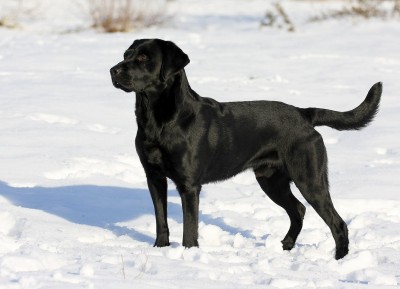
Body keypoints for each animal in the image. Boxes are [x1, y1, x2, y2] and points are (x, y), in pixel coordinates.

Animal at [109, 38, 382, 258]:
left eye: (144, 58)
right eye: (126, 54)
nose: (113, 70)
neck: (158, 120)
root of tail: (304, 114)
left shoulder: (189, 185)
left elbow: (189, 227)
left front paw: (188, 255)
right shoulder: (154, 177)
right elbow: (161, 220)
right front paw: (161, 249)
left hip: (309, 179)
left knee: (336, 222)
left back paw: (339, 260)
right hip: (271, 180)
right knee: (298, 210)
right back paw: (286, 246)